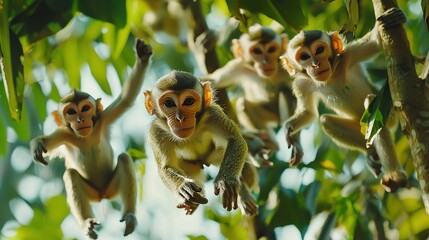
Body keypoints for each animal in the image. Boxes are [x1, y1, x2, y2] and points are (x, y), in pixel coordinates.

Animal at [29, 39, 152, 238]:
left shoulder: (103, 119)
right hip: (92, 193)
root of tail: (102, 194)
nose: (80, 119)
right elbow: (47, 142)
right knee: (71, 174)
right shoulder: (64, 133)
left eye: (85, 108)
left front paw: (142, 57)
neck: (86, 137)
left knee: (124, 158)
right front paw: (38, 146)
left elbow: (126, 99)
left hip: (112, 187)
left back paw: (129, 215)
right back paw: (87, 222)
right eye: (71, 112)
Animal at [144, 71, 258, 216]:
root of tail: (204, 161)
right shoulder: (156, 132)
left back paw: (243, 194)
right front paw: (182, 186)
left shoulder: (212, 114)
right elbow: (166, 167)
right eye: (169, 103)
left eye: (189, 101)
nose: (180, 118)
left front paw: (225, 181)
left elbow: (235, 139)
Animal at [205, 24, 300, 166]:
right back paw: (270, 143)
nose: (266, 61)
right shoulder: (238, 66)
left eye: (271, 49)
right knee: (243, 103)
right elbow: (213, 81)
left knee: (285, 91)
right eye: (257, 51)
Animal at [280, 7, 406, 192]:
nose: (316, 64)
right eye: (304, 57)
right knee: (326, 121)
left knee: (372, 106)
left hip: (391, 116)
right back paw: (371, 153)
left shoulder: (350, 55)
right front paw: (290, 131)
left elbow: (376, 42)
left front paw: (393, 18)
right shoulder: (301, 84)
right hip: (359, 127)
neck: (331, 77)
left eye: (319, 50)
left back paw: (395, 175)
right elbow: (309, 113)